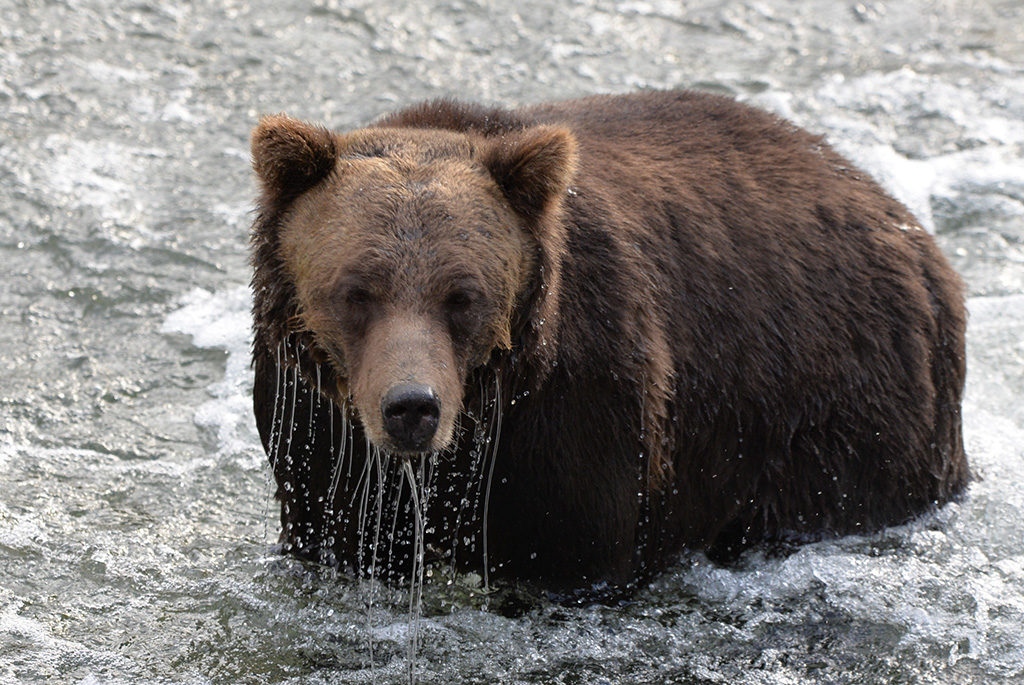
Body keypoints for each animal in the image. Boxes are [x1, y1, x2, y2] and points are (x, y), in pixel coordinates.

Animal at [248, 90, 968, 594]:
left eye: (463, 295)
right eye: (357, 290)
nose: (412, 406)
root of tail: (911, 230)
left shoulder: (582, 406)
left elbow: (576, 547)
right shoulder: (318, 425)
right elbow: (341, 531)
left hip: (841, 413)